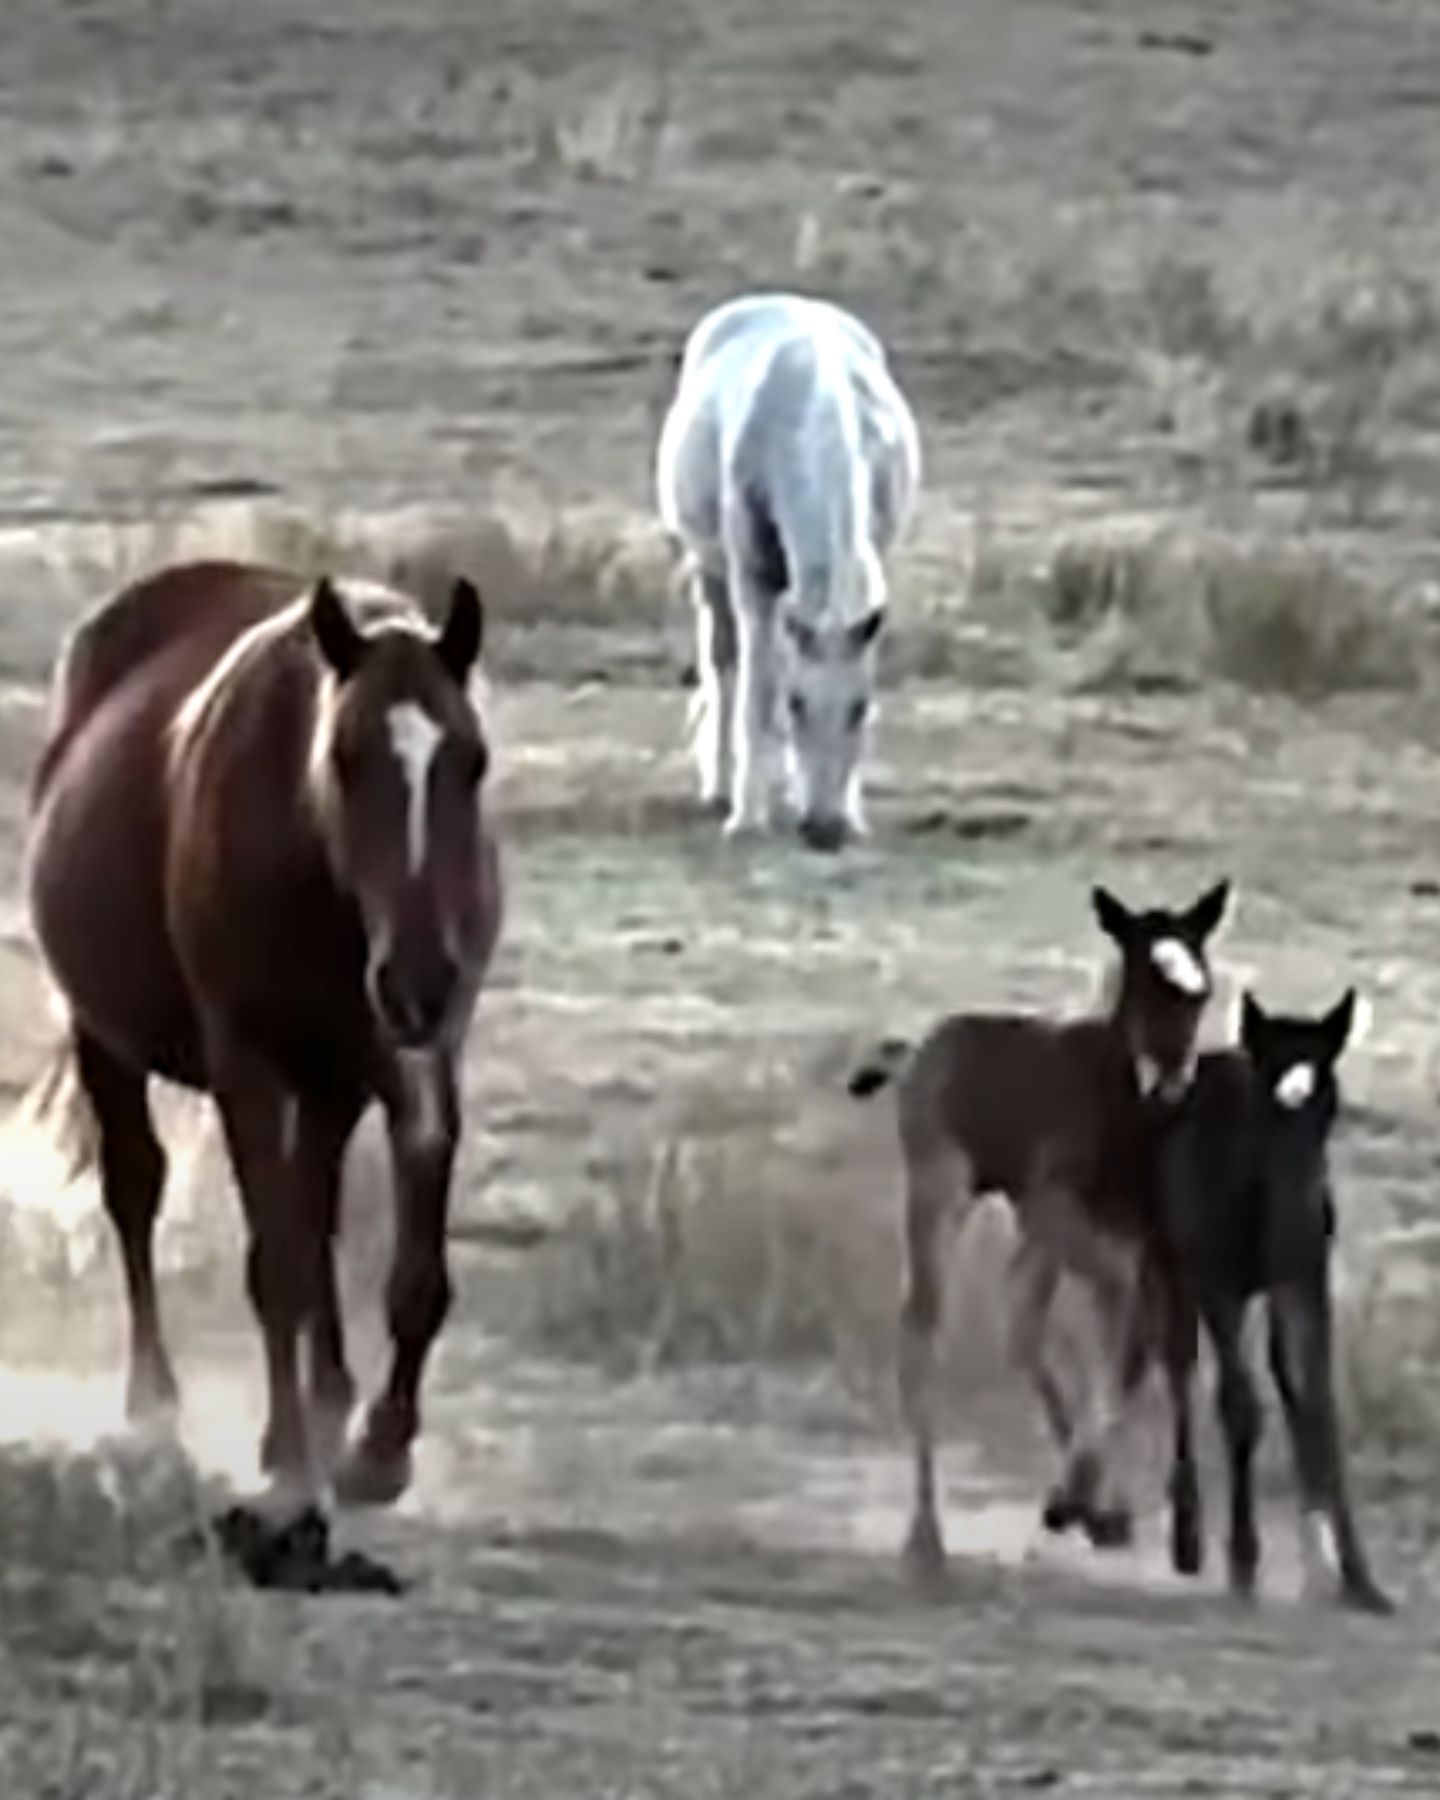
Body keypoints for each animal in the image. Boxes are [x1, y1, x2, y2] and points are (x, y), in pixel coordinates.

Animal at [25, 561, 500, 1504]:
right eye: (345, 759)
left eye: (473, 761)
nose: (420, 979)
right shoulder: (247, 1066)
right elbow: (276, 1264)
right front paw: (286, 1452)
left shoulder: (419, 1067)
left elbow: (407, 1274)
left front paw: (380, 1445)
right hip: (107, 1041)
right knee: (136, 1194)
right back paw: (158, 1406)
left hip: (331, 1078)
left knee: (313, 1210)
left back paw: (333, 1398)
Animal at [655, 291, 918, 853]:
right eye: (797, 705)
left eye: (860, 707)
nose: (824, 829)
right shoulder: (751, 580)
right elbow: (758, 692)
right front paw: (746, 816)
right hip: (711, 574)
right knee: (726, 667)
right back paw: (724, 787)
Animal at [849, 878, 1231, 1584]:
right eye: (1142, 978)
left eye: (1201, 989)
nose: (1172, 1078)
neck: (1121, 1116)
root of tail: (915, 1053)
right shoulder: (1059, 1212)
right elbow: (1122, 1327)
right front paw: (1077, 1501)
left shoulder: (1147, 1243)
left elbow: (1142, 1349)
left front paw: (1102, 1510)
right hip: (944, 1191)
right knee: (922, 1332)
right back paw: (926, 1539)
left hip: (1029, 1229)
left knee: (1021, 1325)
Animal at [1144, 993, 1382, 1612]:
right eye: (1266, 1106)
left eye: (1330, 1105)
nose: (1300, 1218)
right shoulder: (1219, 1286)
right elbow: (1239, 1405)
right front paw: (1243, 1558)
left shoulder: (1304, 1282)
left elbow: (1318, 1401)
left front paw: (1358, 1576)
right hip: (1174, 1270)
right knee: (1179, 1368)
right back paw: (1188, 1537)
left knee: (1281, 1376)